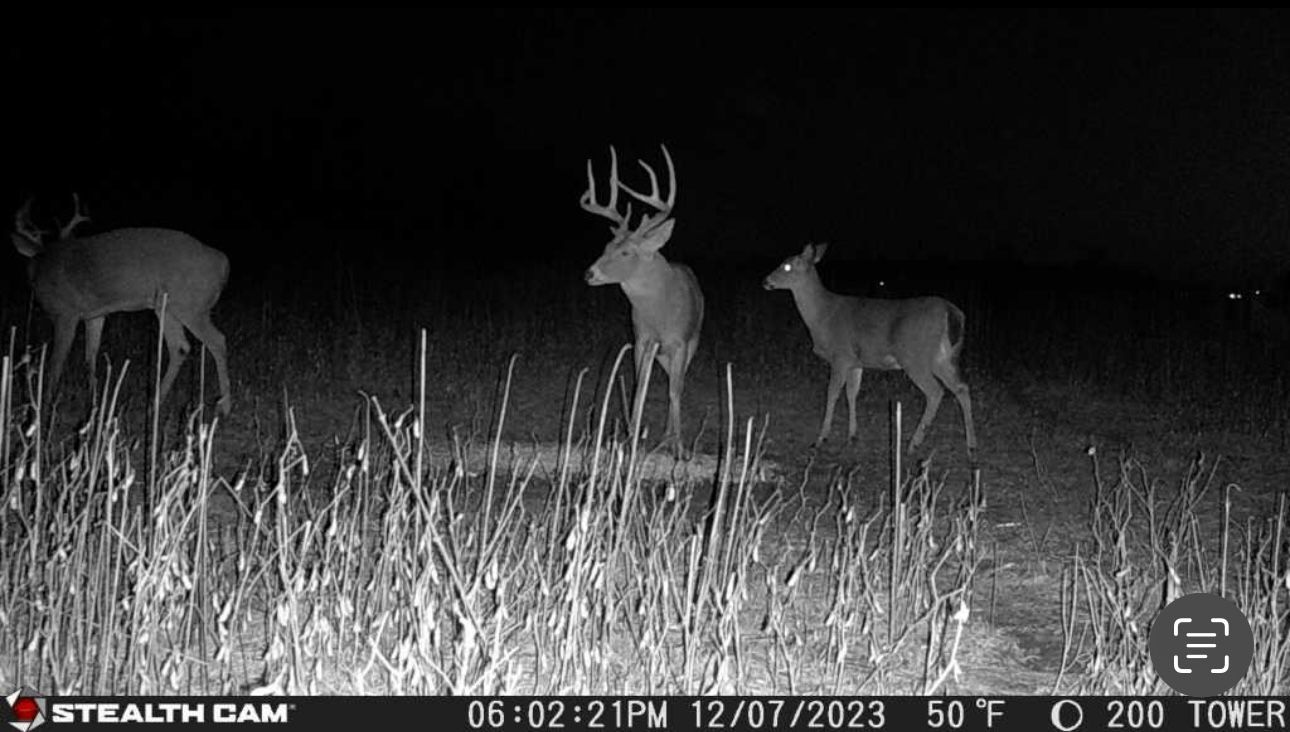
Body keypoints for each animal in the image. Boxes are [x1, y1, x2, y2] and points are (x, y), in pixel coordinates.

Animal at [10, 194, 233, 415]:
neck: (42, 266)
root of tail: (222, 262)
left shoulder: (66, 313)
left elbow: (56, 360)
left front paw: (45, 404)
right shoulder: (95, 315)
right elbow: (90, 355)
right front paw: (93, 401)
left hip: (191, 306)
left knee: (217, 340)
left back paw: (224, 406)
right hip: (166, 306)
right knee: (180, 347)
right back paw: (155, 403)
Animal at [581, 144, 704, 451]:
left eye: (626, 252)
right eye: (606, 246)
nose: (589, 273)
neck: (659, 311)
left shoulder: (680, 341)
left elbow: (675, 391)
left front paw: (679, 447)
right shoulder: (642, 338)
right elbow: (639, 387)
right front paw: (630, 437)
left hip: (691, 342)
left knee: (678, 383)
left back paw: (670, 437)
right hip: (659, 352)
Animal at [763, 242, 976, 461]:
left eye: (787, 266)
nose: (766, 281)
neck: (822, 316)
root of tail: (952, 312)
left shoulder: (840, 356)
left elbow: (832, 393)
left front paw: (821, 439)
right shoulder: (855, 362)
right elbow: (852, 393)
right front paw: (852, 436)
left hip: (914, 356)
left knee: (936, 391)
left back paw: (913, 444)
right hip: (944, 357)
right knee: (962, 387)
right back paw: (971, 446)